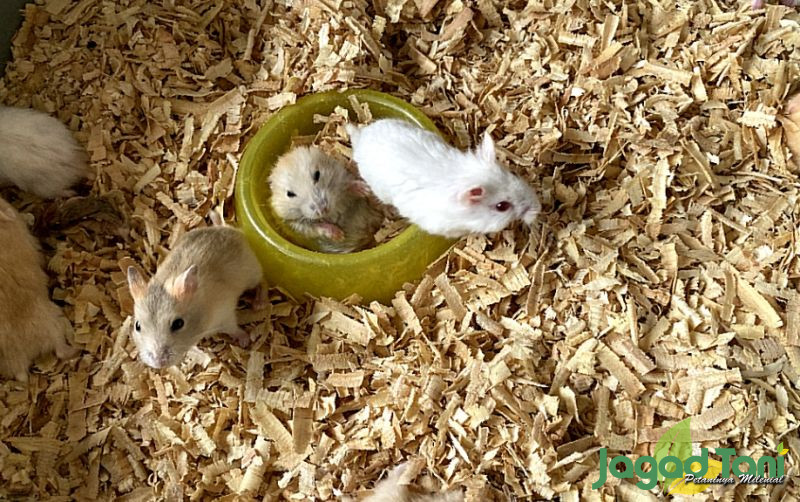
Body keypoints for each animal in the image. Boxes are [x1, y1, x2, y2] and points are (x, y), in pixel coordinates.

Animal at [126, 223, 263, 369]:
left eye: (178, 324)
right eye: (137, 326)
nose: (159, 364)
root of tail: (227, 228)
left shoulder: (226, 315)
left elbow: (233, 329)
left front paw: (245, 341)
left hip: (252, 273)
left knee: (263, 283)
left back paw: (259, 305)